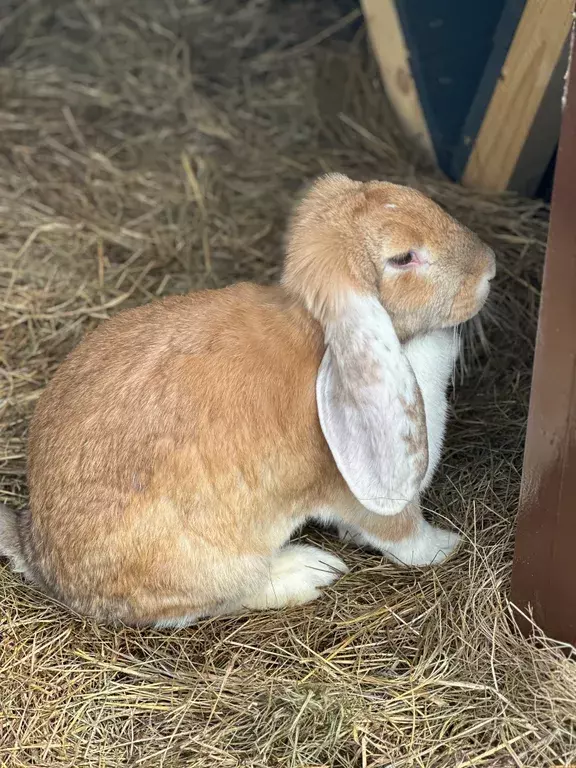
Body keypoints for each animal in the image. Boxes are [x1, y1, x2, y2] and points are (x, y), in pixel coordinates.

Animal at [0, 172, 496, 624]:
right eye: (403, 258)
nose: (489, 267)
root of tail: (38, 554)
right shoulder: (369, 501)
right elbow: (406, 537)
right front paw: (448, 545)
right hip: (211, 566)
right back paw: (309, 570)